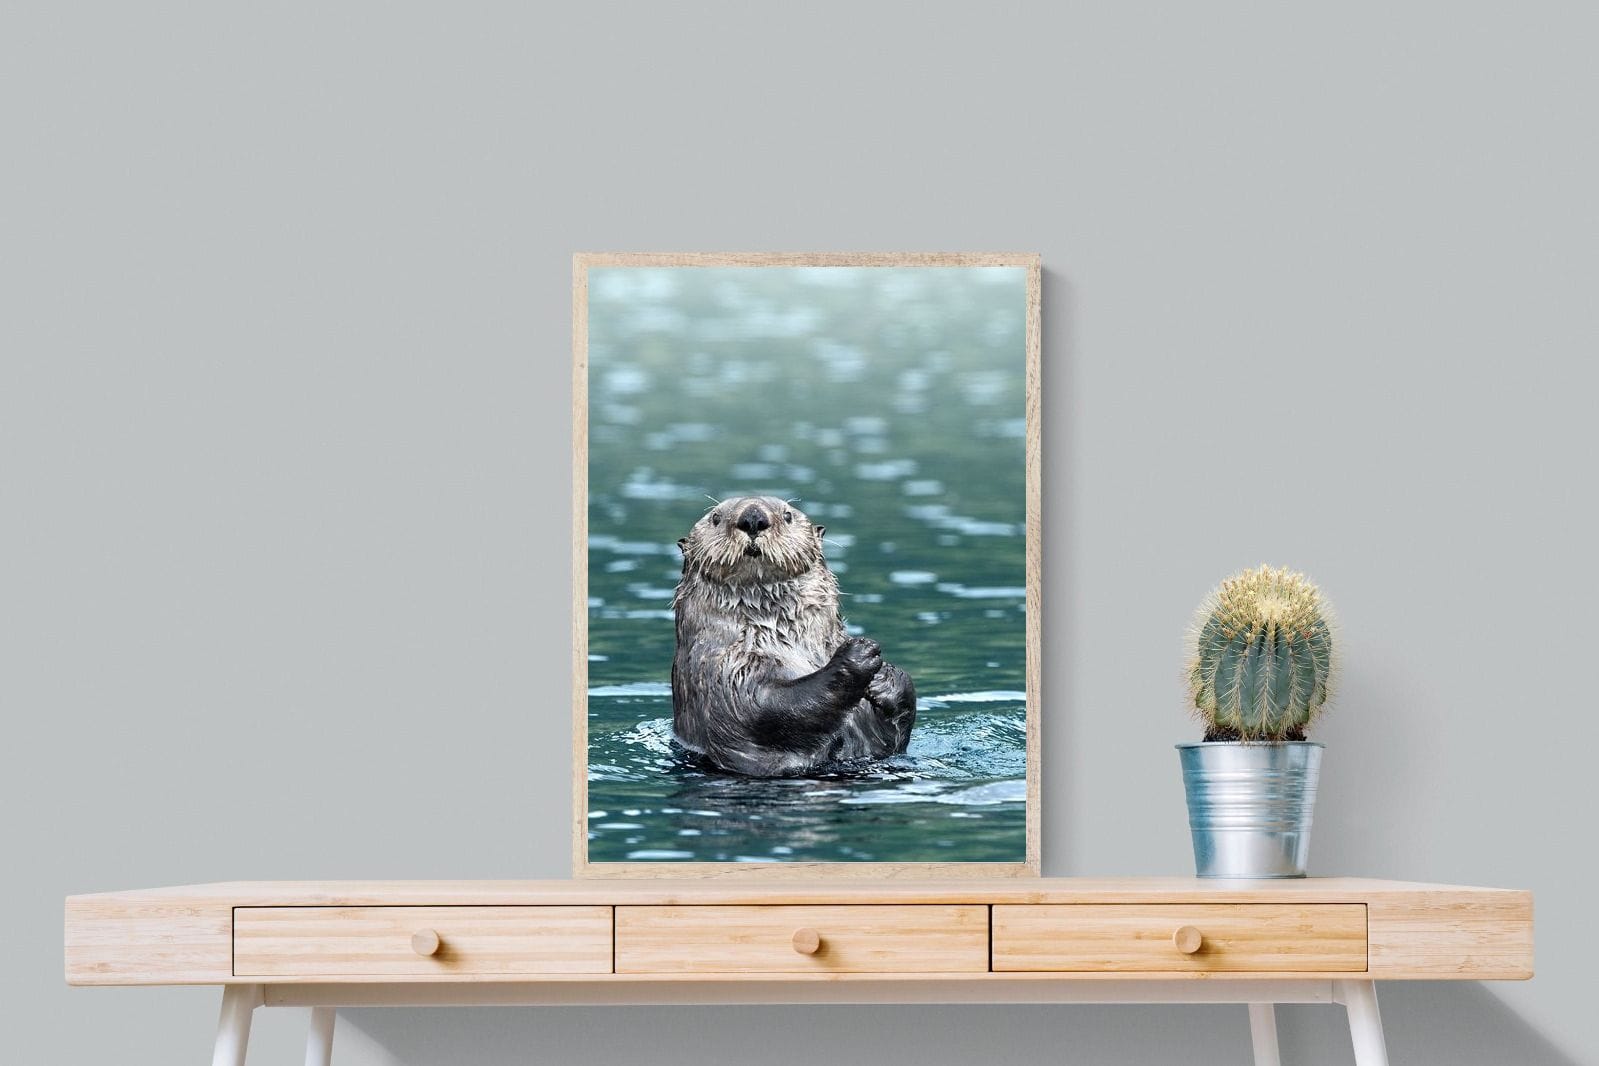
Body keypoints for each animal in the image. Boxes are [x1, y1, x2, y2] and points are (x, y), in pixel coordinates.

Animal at [671, 495, 917, 777]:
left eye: (787, 515)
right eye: (715, 518)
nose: (753, 517)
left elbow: (893, 738)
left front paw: (886, 677)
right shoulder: (722, 672)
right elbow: (767, 707)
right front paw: (858, 654)